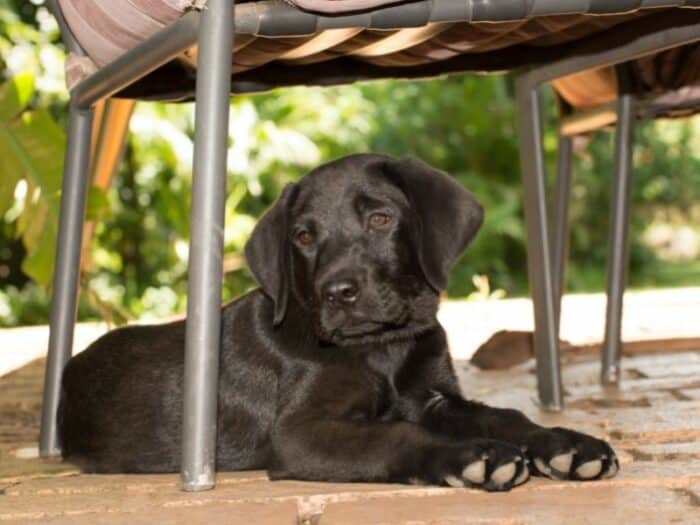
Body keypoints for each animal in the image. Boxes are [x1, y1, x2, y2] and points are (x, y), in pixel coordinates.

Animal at [60, 154, 616, 490]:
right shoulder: (300, 432)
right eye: (303, 236)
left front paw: (566, 445)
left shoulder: (435, 397)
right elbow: (396, 436)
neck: (384, 348)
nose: (338, 292)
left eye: (380, 219)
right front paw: (471, 457)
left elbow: (506, 415)